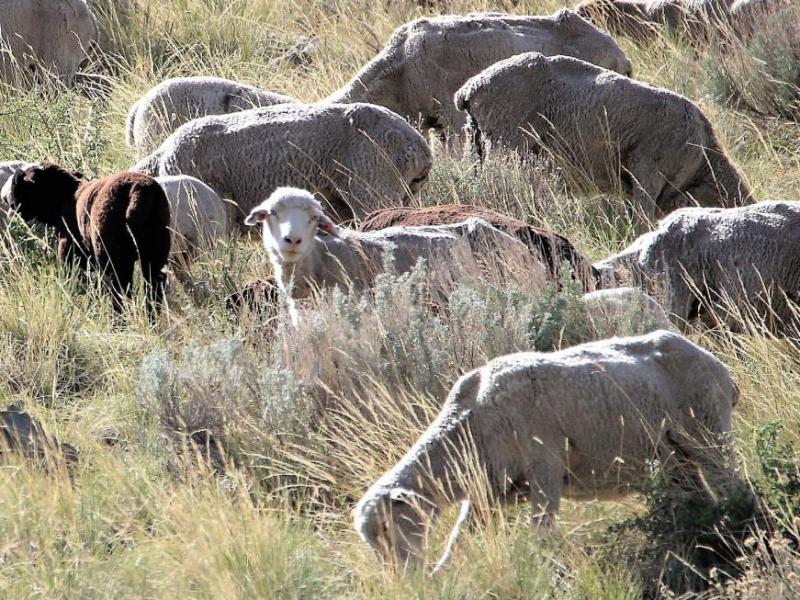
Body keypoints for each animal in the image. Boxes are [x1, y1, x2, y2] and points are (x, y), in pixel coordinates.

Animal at [2, 163, 171, 315]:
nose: (7, 200)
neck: (63, 197)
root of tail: (138, 193)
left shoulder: (68, 250)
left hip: (114, 254)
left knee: (121, 288)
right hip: (155, 250)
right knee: (153, 286)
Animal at [354, 329, 740, 571]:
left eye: (387, 529)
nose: (403, 578)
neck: (470, 418)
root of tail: (717, 365)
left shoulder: (545, 470)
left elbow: (540, 533)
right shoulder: (488, 493)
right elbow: (459, 539)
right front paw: (441, 575)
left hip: (707, 426)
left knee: (730, 484)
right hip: (675, 458)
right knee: (697, 496)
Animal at [455, 53, 752, 219]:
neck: (704, 162)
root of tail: (469, 89)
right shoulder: (647, 171)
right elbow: (642, 221)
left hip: (475, 142)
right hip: (506, 143)